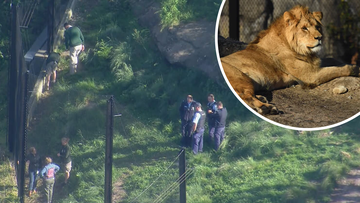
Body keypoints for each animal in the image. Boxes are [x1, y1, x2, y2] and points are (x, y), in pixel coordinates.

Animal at [221, 4, 358, 115]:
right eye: (304, 28)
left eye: (317, 27)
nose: (319, 37)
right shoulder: (310, 76)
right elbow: (337, 69)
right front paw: (356, 69)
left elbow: (334, 61)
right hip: (239, 77)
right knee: (245, 96)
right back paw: (267, 108)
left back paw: (261, 98)